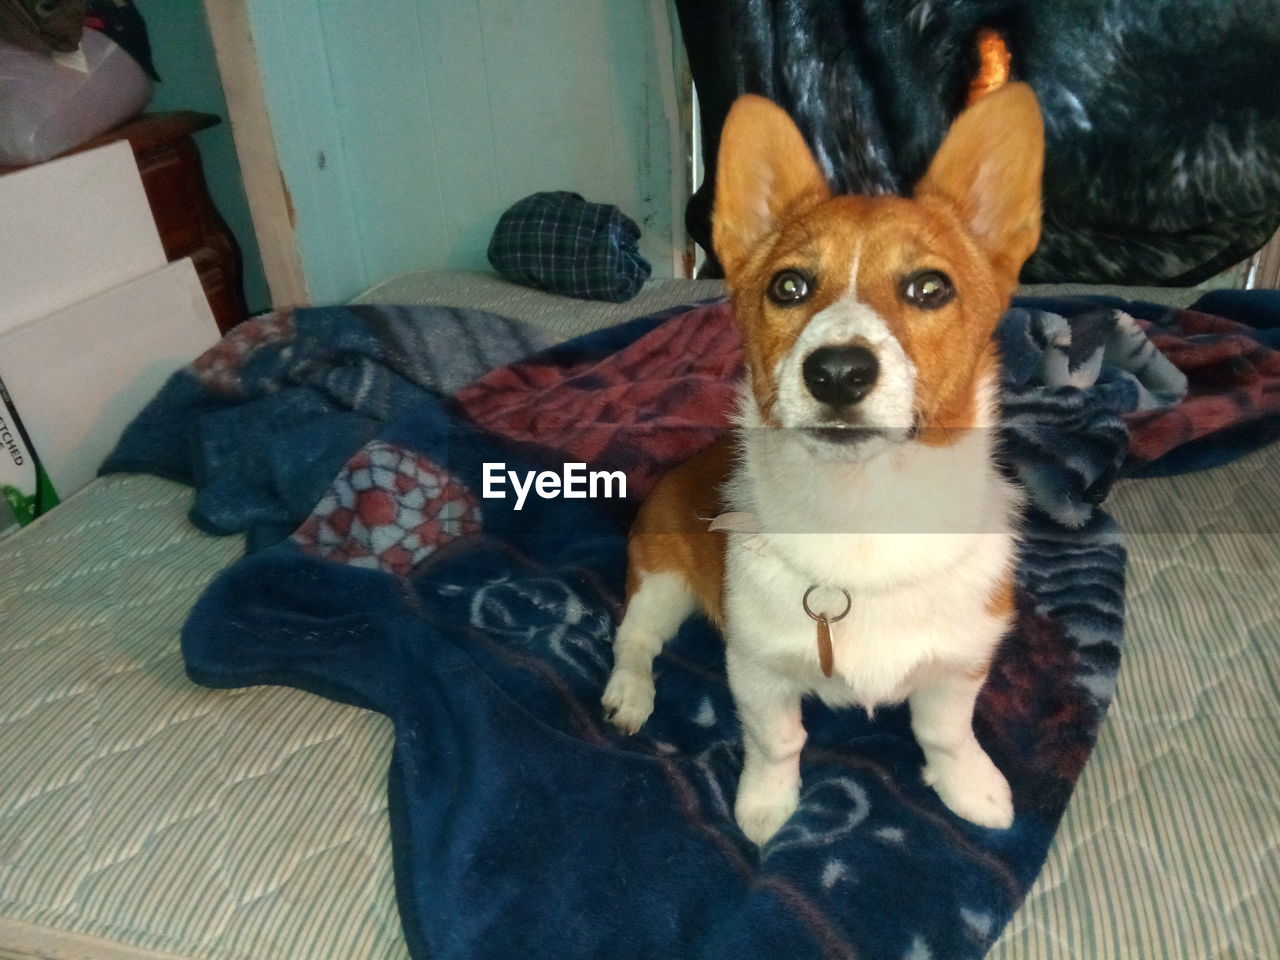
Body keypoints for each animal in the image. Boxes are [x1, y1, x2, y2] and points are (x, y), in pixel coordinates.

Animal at [599, 84, 1039, 849]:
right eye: (789, 286)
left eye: (930, 288)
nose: (837, 372)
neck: (860, 518)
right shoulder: (756, 670)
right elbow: (778, 742)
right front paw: (766, 808)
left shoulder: (960, 664)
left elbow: (946, 733)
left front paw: (972, 790)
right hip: (661, 580)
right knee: (635, 638)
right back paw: (629, 693)